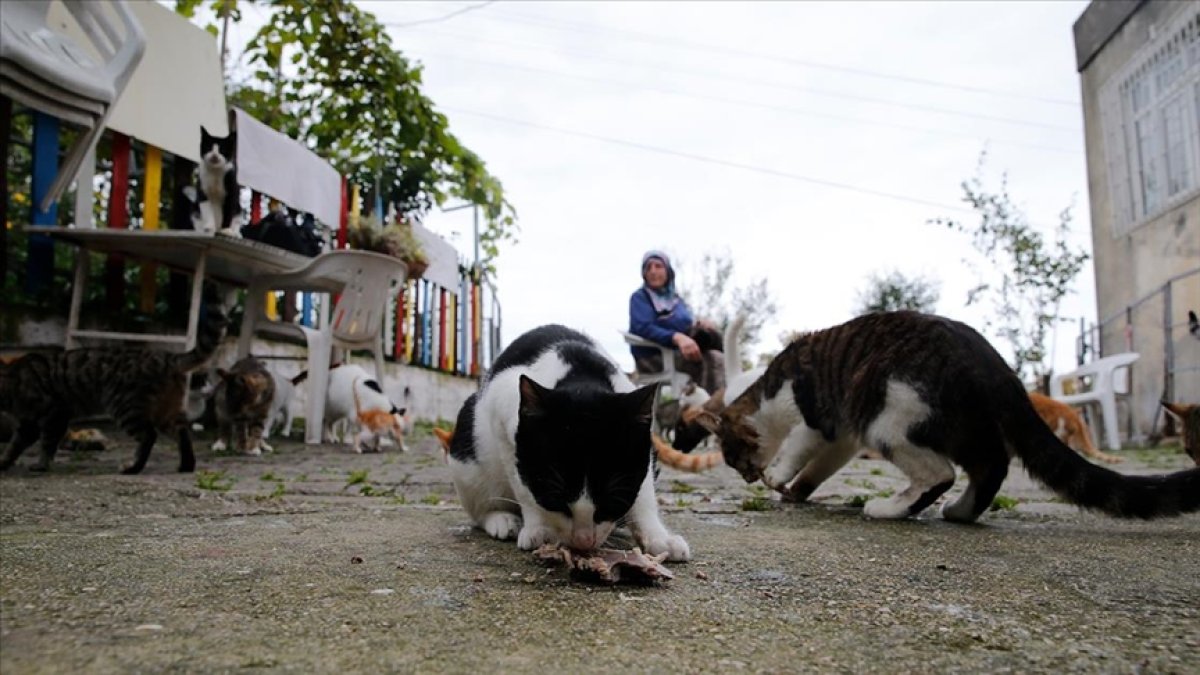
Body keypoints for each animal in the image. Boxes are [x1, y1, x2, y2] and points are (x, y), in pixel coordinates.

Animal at [0, 309, 226, 473]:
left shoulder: (53, 414)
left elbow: (46, 444)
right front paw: (5, 462)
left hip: (124, 407)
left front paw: (40, 464)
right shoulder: (29, 423)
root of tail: (166, 357)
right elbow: (15, 445)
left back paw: (133, 467)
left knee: (148, 435)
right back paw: (186, 465)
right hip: (166, 411)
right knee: (182, 432)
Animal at [448, 319, 696, 557]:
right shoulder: (502, 421)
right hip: (467, 455)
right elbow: (524, 488)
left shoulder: (642, 449)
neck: (581, 373)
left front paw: (658, 537)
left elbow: (643, 493)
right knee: (479, 510)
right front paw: (539, 528)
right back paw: (501, 519)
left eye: (610, 503)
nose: (583, 541)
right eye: (556, 499)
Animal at [700, 309, 1200, 521]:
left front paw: (777, 476)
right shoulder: (841, 437)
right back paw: (960, 512)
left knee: (942, 474)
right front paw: (797, 491)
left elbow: (795, 449)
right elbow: (817, 467)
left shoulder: (817, 418)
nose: (745, 477)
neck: (768, 390)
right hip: (954, 426)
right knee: (991, 466)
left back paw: (888, 509)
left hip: (890, 415)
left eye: (733, 457)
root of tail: (997, 366)